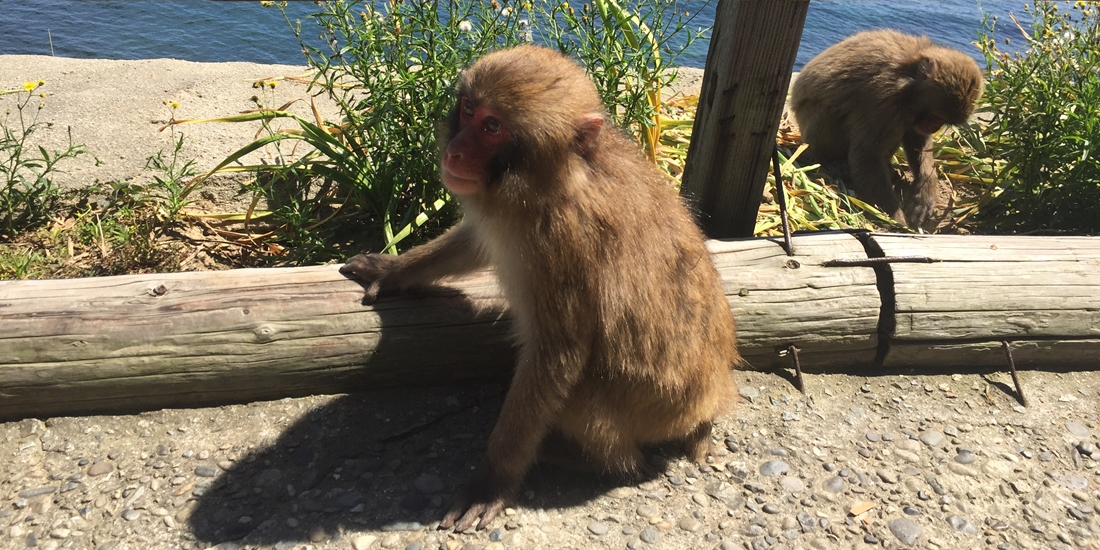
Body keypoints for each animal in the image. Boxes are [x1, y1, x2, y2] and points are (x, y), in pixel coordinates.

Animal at [336, 46, 739, 532]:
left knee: (583, 397)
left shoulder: (562, 246)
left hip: (656, 411)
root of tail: (710, 400)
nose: (455, 149)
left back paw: (587, 460)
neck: (554, 182)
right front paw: (394, 269)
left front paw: (494, 479)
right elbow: (477, 242)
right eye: (468, 109)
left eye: (493, 127)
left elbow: (557, 355)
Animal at [787, 30, 985, 227]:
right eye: (936, 117)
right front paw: (895, 219)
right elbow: (868, 155)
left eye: (941, 121)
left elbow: (917, 141)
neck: (906, 80)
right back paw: (834, 164)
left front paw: (924, 193)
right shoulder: (883, 99)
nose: (933, 126)